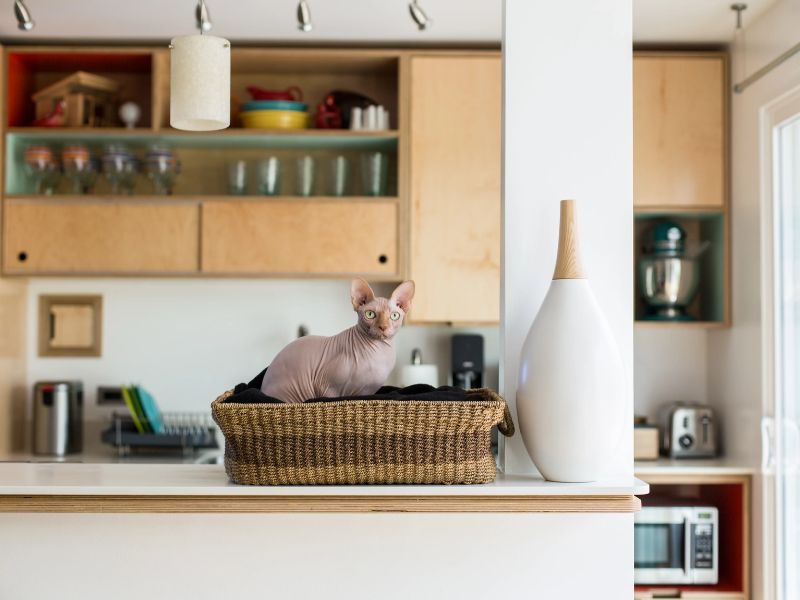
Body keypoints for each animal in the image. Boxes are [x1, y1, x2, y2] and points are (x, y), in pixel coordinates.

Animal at [260, 280, 416, 404]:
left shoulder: (367, 392)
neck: (379, 352)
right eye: (370, 314)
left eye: (394, 316)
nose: (383, 327)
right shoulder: (326, 387)